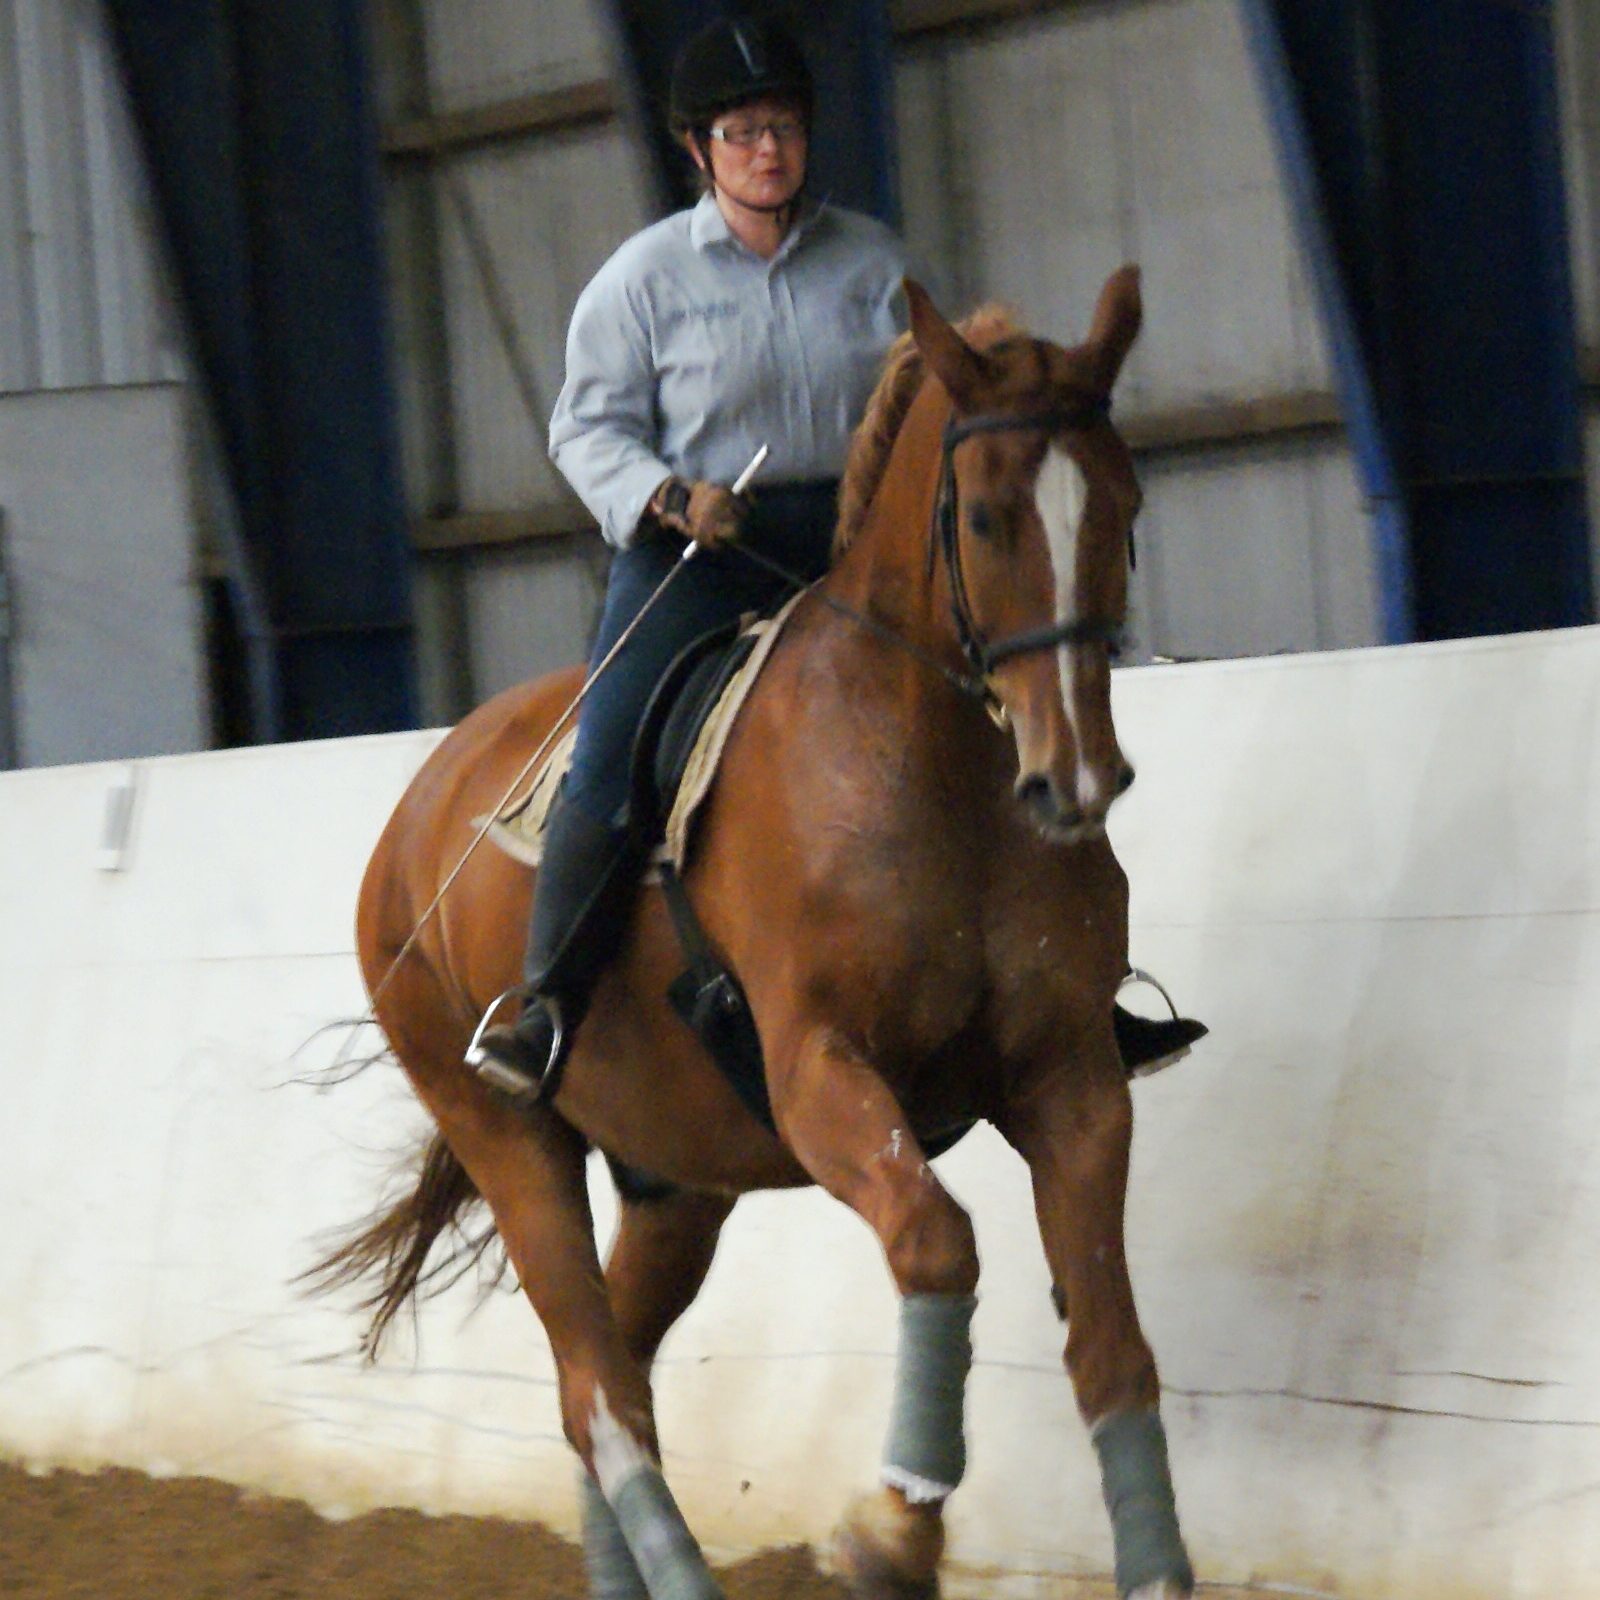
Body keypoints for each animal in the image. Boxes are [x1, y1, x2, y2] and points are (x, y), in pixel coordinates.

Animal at [324, 275, 1196, 1600]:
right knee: (596, 1390)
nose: (1076, 779)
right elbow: (938, 1242)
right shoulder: (819, 1072)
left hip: (676, 1184)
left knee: (616, 1369)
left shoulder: (1071, 1079)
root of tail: (415, 813)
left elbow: (1111, 1344)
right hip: (505, 1132)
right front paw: (887, 1532)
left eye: (1124, 506)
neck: (930, 767)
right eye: (985, 517)